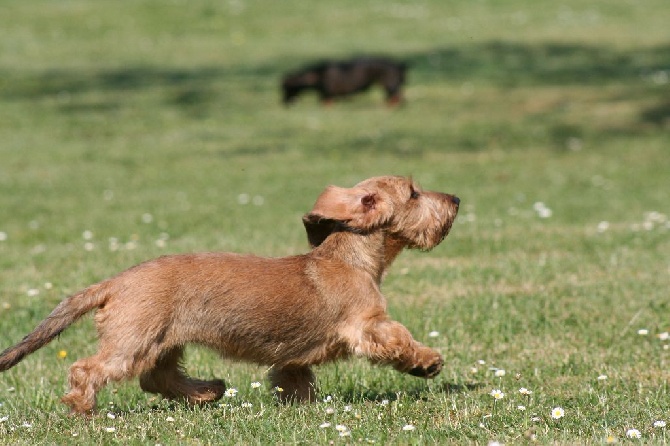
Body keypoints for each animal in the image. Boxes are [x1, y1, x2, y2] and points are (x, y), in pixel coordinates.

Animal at [0, 176, 462, 412]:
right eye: (414, 193)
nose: (456, 198)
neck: (350, 258)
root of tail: (114, 281)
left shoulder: (292, 357)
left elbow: (294, 378)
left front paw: (302, 407)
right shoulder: (367, 325)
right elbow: (398, 339)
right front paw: (428, 362)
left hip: (164, 341)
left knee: (157, 377)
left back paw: (208, 391)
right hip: (131, 340)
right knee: (87, 369)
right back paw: (83, 408)